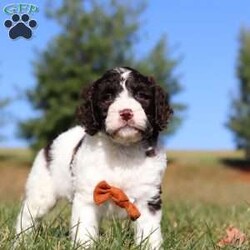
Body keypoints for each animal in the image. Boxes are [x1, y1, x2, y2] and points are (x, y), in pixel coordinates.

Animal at [15, 66, 172, 248]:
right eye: (107, 97)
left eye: (141, 95)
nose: (126, 113)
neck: (122, 150)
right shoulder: (88, 197)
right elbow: (84, 232)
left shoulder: (148, 197)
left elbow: (149, 233)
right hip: (42, 191)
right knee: (28, 215)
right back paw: (21, 241)